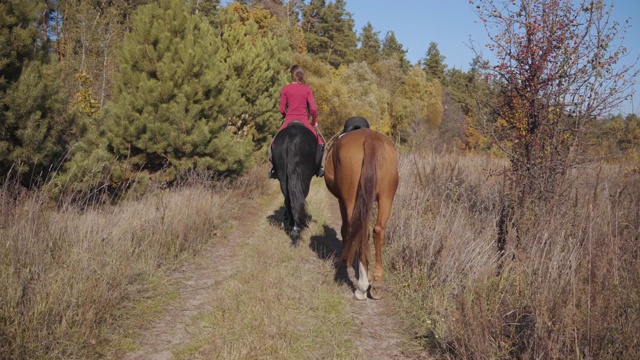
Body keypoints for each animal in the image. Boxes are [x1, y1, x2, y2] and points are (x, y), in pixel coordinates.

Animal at [322, 125, 398, 300]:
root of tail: (370, 139)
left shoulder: (342, 200)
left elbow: (345, 229)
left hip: (351, 199)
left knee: (361, 232)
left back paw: (362, 287)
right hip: (386, 197)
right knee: (378, 230)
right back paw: (376, 284)